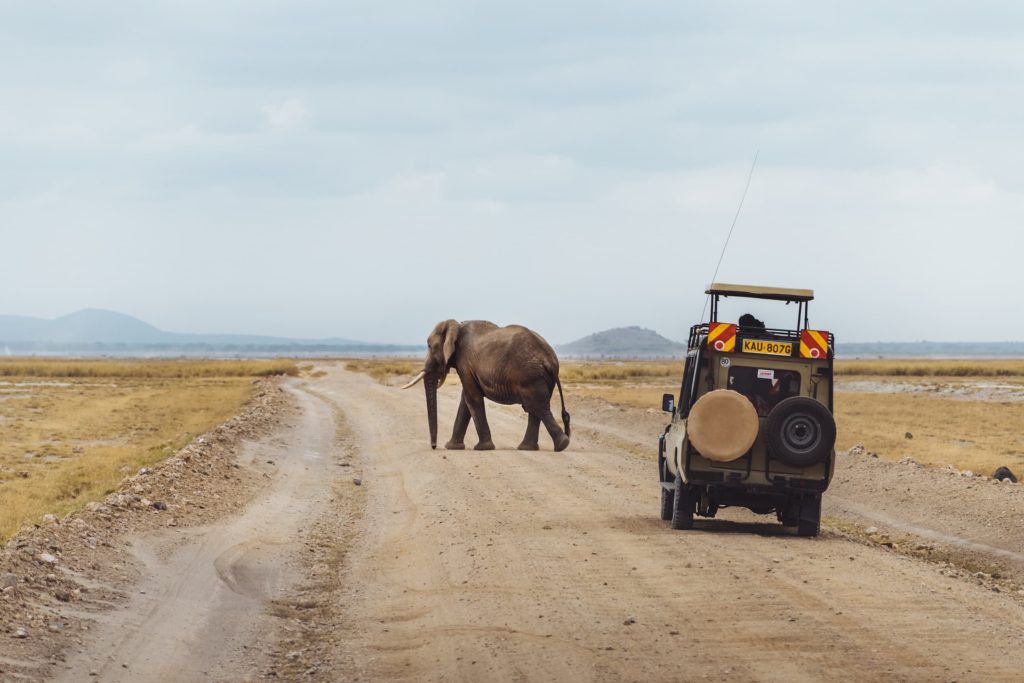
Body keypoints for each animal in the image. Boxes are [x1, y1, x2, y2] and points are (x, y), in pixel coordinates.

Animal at [401, 321, 577, 454]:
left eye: (430, 346)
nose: (434, 446)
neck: (456, 325)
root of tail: (551, 360)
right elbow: (465, 400)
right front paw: (452, 447)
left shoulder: (464, 362)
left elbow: (471, 397)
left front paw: (482, 448)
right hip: (539, 377)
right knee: (535, 408)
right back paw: (528, 448)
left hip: (530, 376)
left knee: (536, 406)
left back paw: (561, 445)